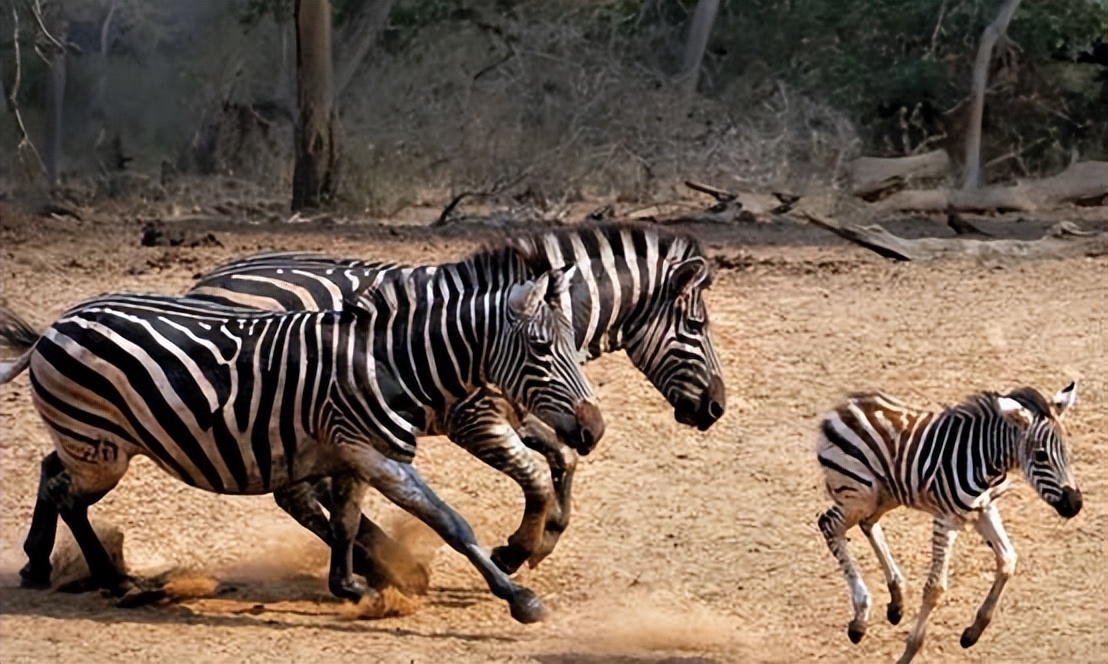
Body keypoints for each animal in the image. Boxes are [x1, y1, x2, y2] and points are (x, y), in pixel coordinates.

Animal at [0, 242, 604, 623]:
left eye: (575, 342)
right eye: (542, 349)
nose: (593, 429)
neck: (392, 362)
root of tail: (54, 327)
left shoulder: (355, 454)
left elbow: (345, 522)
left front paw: (351, 586)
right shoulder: (382, 457)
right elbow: (449, 521)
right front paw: (518, 596)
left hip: (94, 443)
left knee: (52, 474)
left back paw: (40, 563)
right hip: (101, 450)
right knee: (67, 495)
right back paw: (115, 581)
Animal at [185, 221, 726, 579]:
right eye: (696, 326)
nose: (717, 408)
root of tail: (209, 281)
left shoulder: (522, 412)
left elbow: (563, 461)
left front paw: (544, 539)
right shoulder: (475, 420)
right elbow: (535, 475)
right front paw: (516, 550)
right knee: (296, 492)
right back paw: (387, 562)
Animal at [815, 382, 1082, 664]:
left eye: (1067, 451)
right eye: (1041, 455)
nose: (1075, 504)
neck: (984, 458)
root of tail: (841, 408)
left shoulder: (984, 508)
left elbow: (1008, 560)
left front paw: (973, 631)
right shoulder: (946, 519)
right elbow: (935, 588)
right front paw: (909, 652)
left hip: (885, 494)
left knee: (867, 524)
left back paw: (896, 600)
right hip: (859, 494)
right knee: (830, 525)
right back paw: (861, 617)